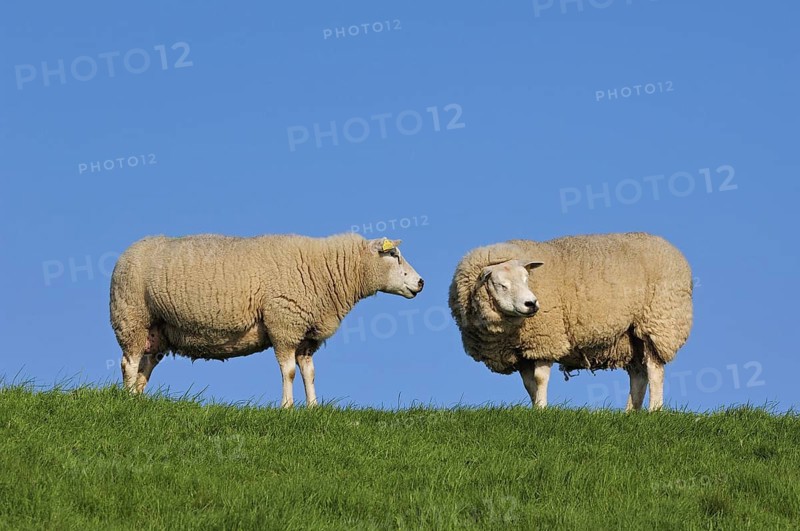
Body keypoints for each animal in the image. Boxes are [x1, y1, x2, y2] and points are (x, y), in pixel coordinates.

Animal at [110, 233, 424, 407]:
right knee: (129, 363)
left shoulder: (305, 334)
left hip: (158, 330)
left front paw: (314, 408)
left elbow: (309, 372)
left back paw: (139, 398)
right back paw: (127, 400)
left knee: (145, 366)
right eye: (393, 255)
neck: (326, 271)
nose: (421, 282)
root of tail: (126, 252)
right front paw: (287, 407)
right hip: (131, 316)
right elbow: (289, 372)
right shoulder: (283, 323)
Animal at [448, 232, 693, 411]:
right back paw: (630, 413)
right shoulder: (523, 351)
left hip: (658, 323)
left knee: (655, 370)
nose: (531, 304)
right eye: (501, 285)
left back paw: (654, 410)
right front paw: (535, 408)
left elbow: (539, 379)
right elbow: (529, 384)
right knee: (639, 374)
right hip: (629, 336)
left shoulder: (546, 339)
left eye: (527, 279)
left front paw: (542, 410)